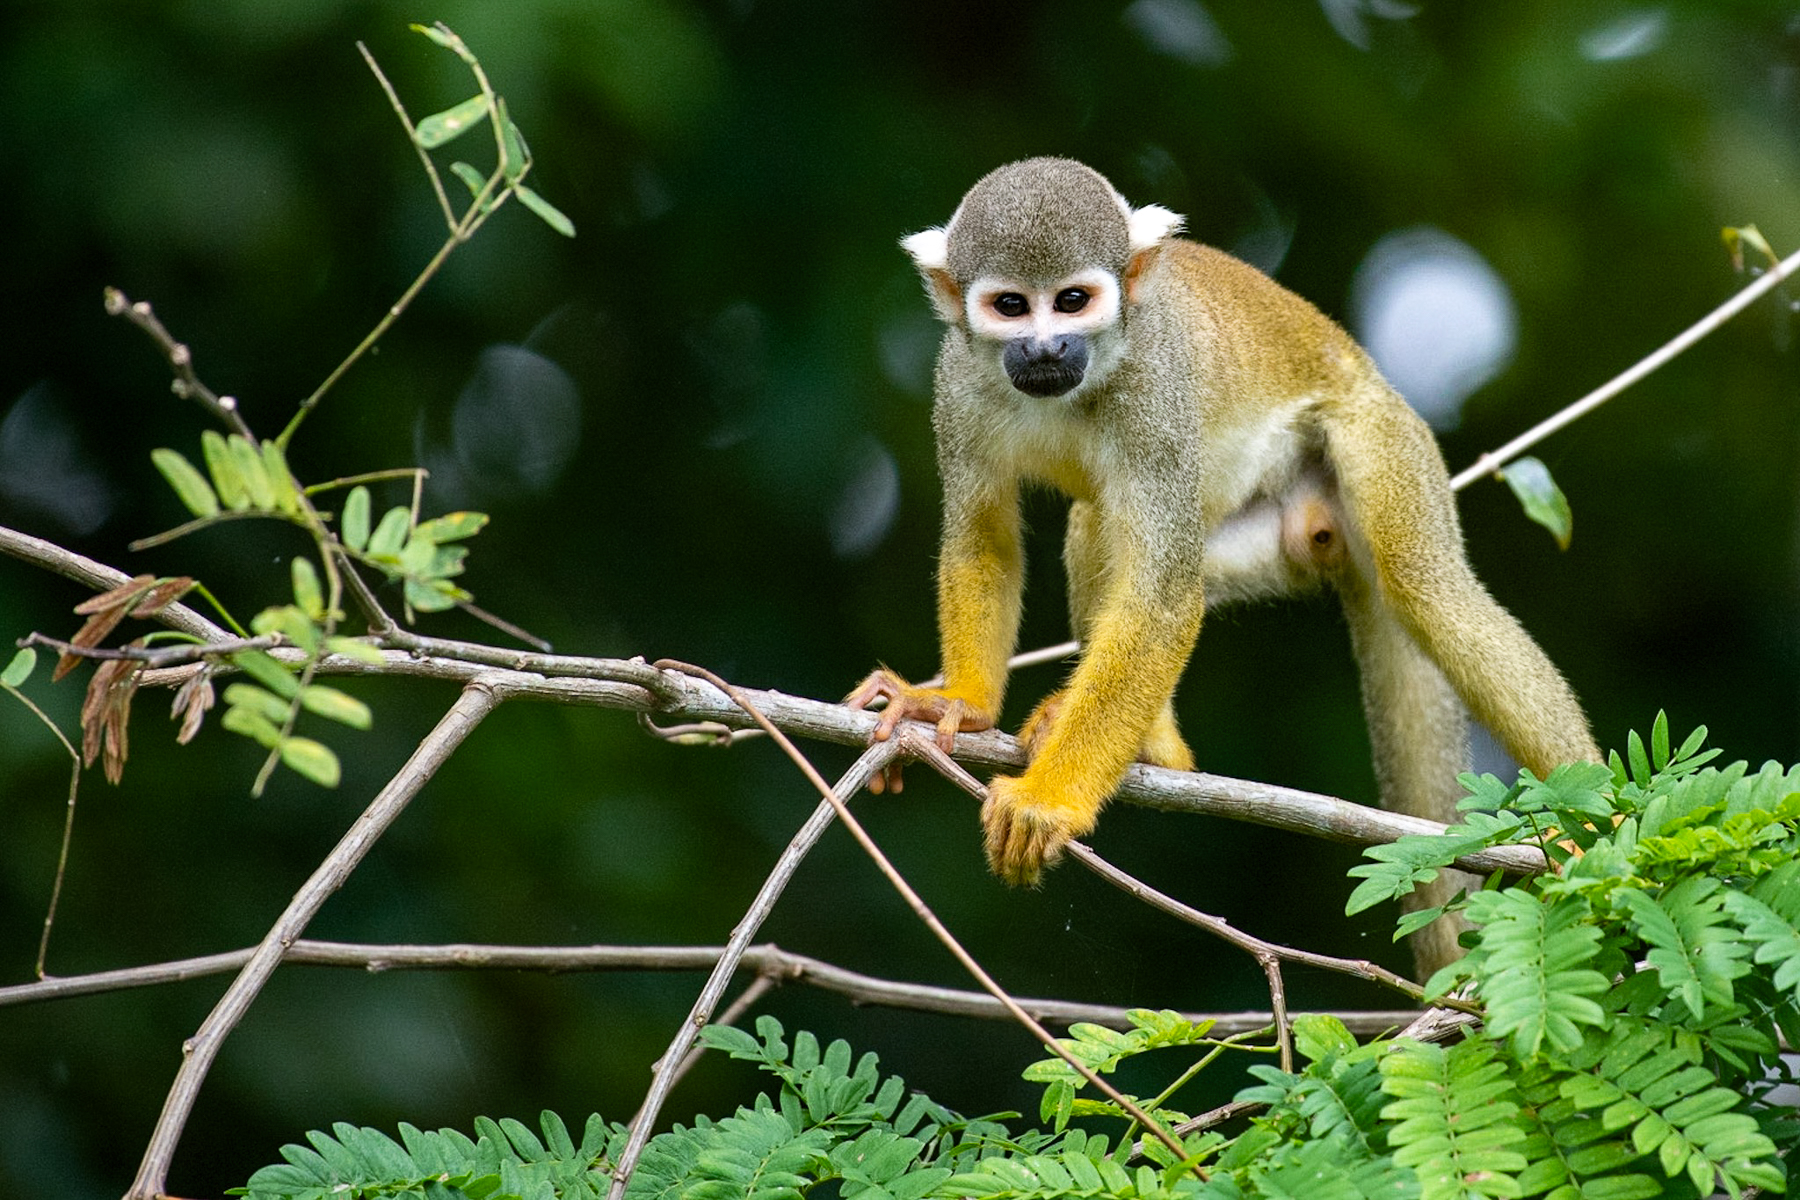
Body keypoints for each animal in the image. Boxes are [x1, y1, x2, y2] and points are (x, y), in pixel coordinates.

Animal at [847, 157, 1599, 976]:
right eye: (1012, 306)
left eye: (1073, 301)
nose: (1045, 349)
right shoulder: (956, 383)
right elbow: (983, 541)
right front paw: (963, 704)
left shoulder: (1156, 389)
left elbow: (1165, 599)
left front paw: (1048, 801)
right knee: (1097, 524)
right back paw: (1149, 744)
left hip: (1378, 433)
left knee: (1423, 587)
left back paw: (1597, 821)